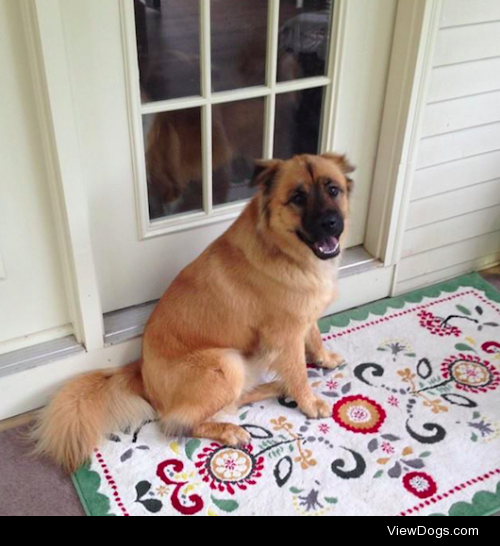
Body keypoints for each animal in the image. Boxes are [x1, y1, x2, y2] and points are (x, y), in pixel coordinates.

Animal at [33, 152, 354, 468]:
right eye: (298, 197)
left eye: (333, 190)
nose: (330, 223)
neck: (282, 249)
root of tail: (141, 372)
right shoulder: (286, 336)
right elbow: (299, 373)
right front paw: (309, 402)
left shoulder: (304, 317)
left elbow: (315, 336)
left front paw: (324, 359)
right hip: (225, 364)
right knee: (178, 422)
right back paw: (230, 429)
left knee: (234, 400)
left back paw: (275, 388)